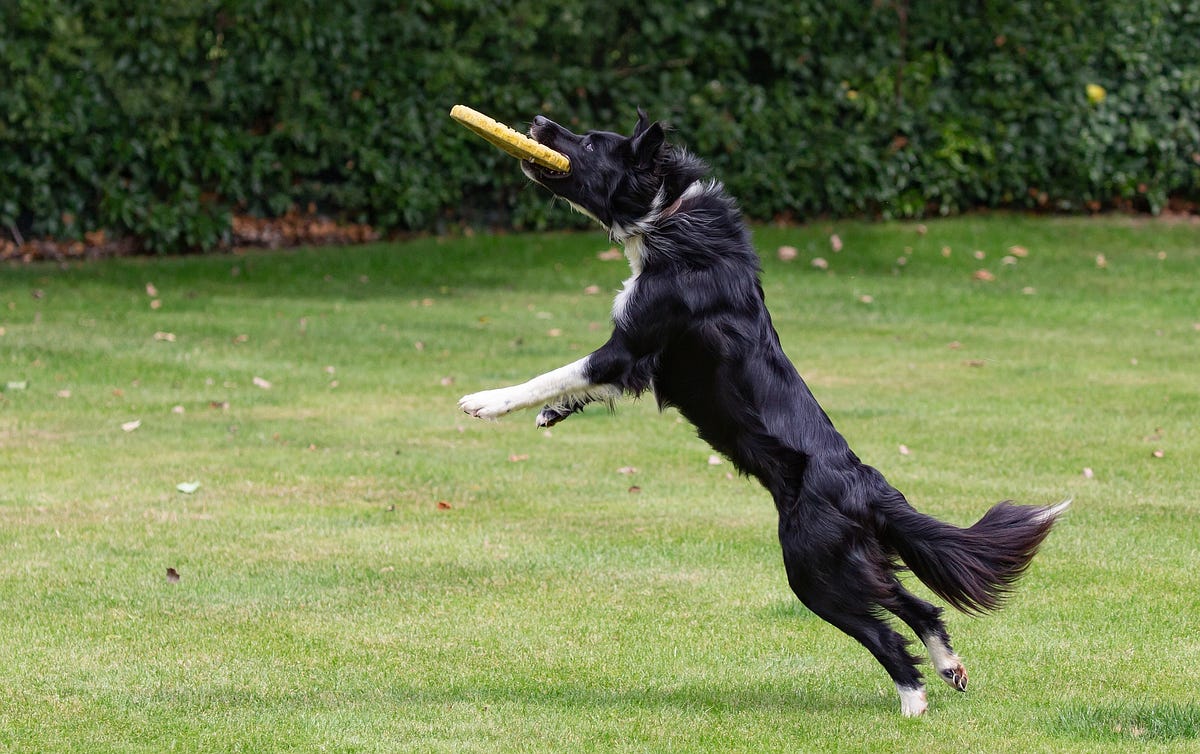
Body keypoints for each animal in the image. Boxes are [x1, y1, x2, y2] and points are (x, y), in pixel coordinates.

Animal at [453, 109, 1065, 715]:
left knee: (886, 632)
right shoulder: (633, 361)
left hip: (813, 568)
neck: (667, 215)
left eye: (587, 142)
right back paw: (948, 667)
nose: (538, 119)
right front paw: (552, 414)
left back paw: (912, 702)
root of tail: (865, 486)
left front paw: (487, 401)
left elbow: (555, 373)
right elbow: (578, 386)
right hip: (852, 561)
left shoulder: (629, 345)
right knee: (918, 605)